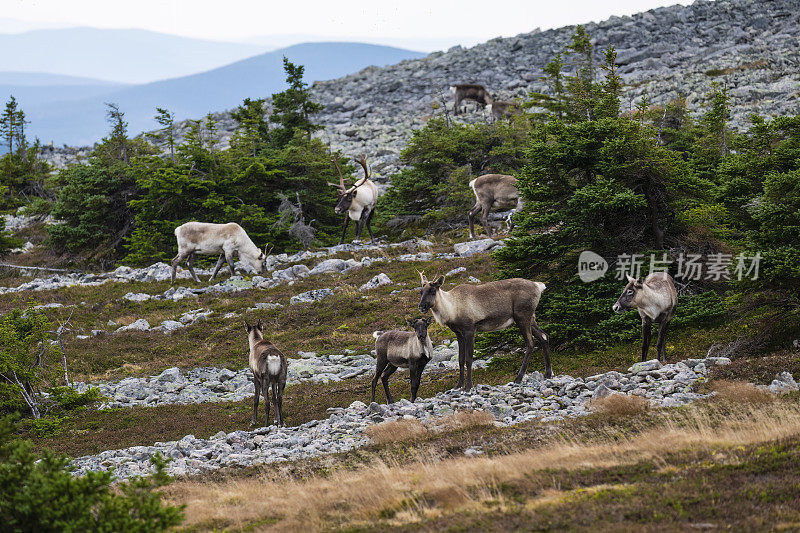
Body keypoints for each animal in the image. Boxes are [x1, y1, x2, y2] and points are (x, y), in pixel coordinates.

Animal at [416, 272, 548, 388]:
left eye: (433, 291)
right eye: (421, 291)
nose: (421, 307)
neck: (451, 309)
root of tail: (539, 286)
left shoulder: (470, 330)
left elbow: (469, 359)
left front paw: (468, 386)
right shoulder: (458, 333)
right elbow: (460, 360)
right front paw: (458, 385)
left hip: (522, 316)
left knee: (530, 343)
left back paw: (518, 378)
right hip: (531, 318)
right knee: (544, 336)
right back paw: (548, 374)